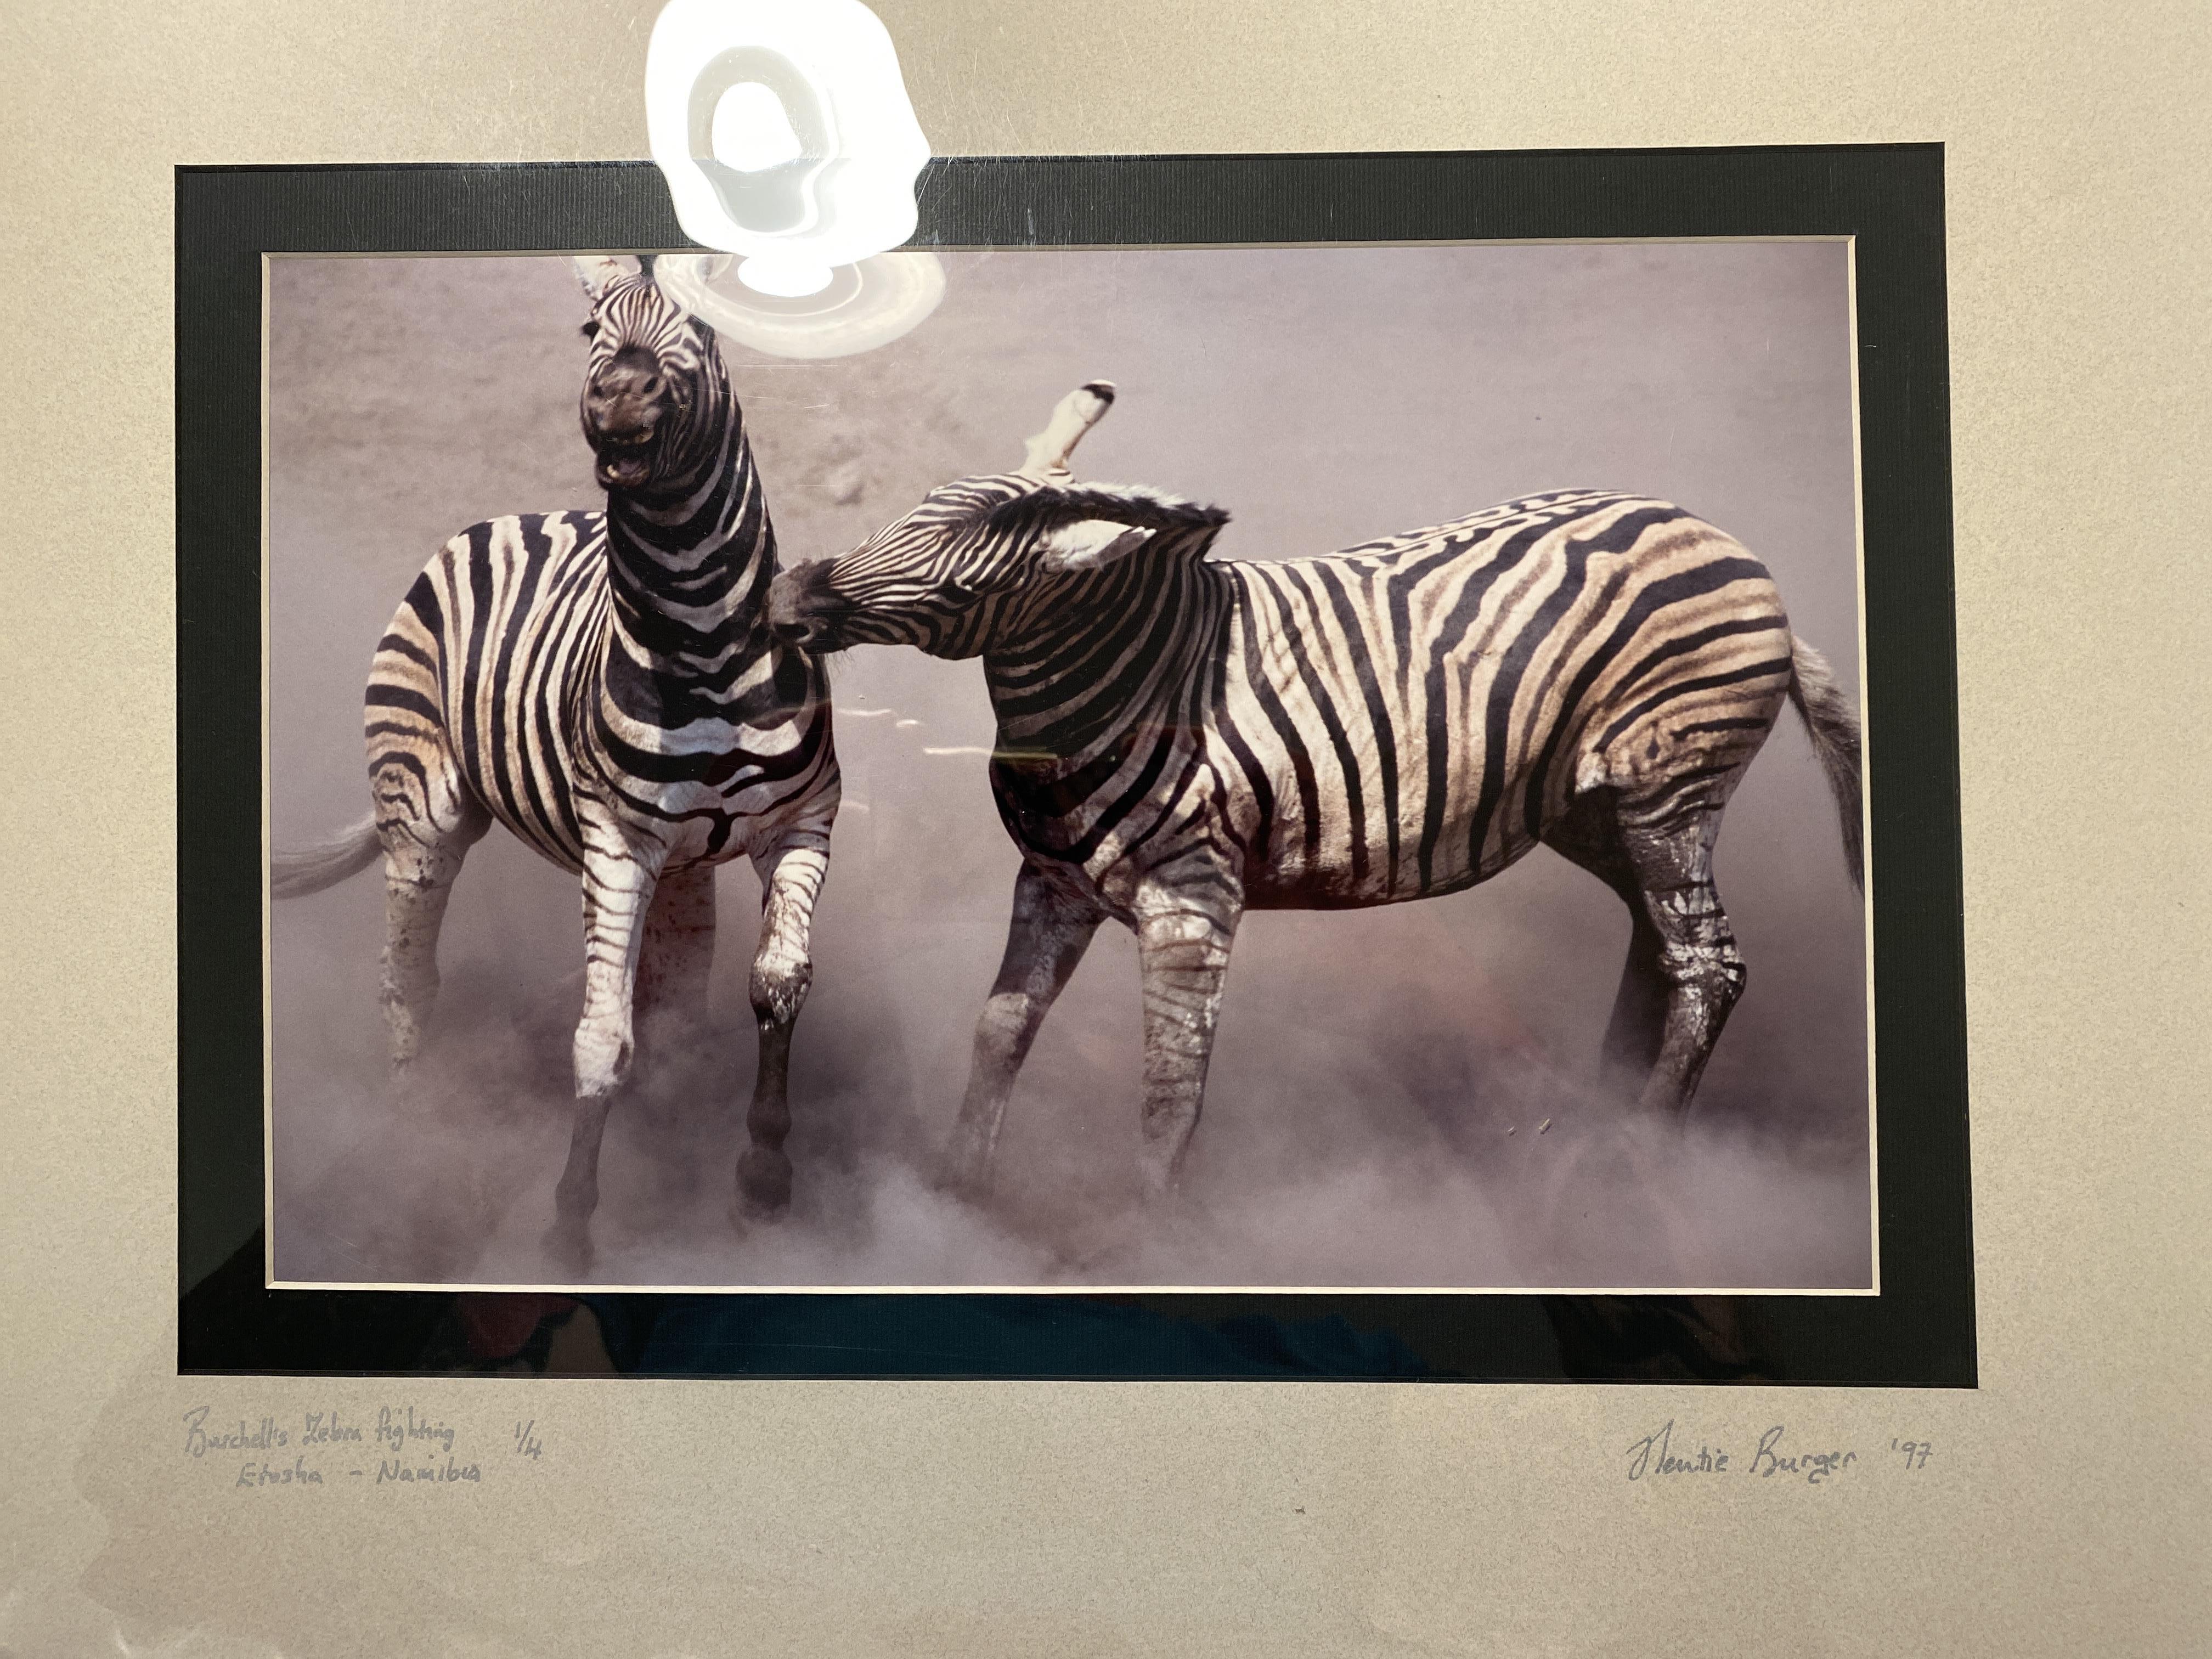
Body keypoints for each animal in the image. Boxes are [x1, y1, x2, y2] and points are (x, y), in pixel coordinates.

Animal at [269, 256, 836, 1274]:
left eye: (707, 326)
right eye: (588, 330)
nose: (619, 397)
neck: (703, 638)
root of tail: (506, 516)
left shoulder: (804, 823)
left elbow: (774, 986)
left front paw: (762, 1178)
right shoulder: (615, 845)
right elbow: (600, 1040)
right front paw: (570, 1226)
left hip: (681, 867)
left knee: (676, 1005)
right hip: (423, 810)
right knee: (408, 978)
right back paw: (412, 1142)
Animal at [770, 376, 1858, 1212]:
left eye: (961, 594)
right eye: (904, 511)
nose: (784, 600)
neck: (1127, 682)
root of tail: (1730, 545)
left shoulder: (1192, 900)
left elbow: (1170, 1080)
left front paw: (1144, 1232)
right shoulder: (1050, 880)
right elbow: (1000, 1029)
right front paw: (961, 1195)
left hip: (1667, 788)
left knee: (1708, 963)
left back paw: (1639, 1153)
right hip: (1595, 809)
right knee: (1659, 944)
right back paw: (1599, 1117)